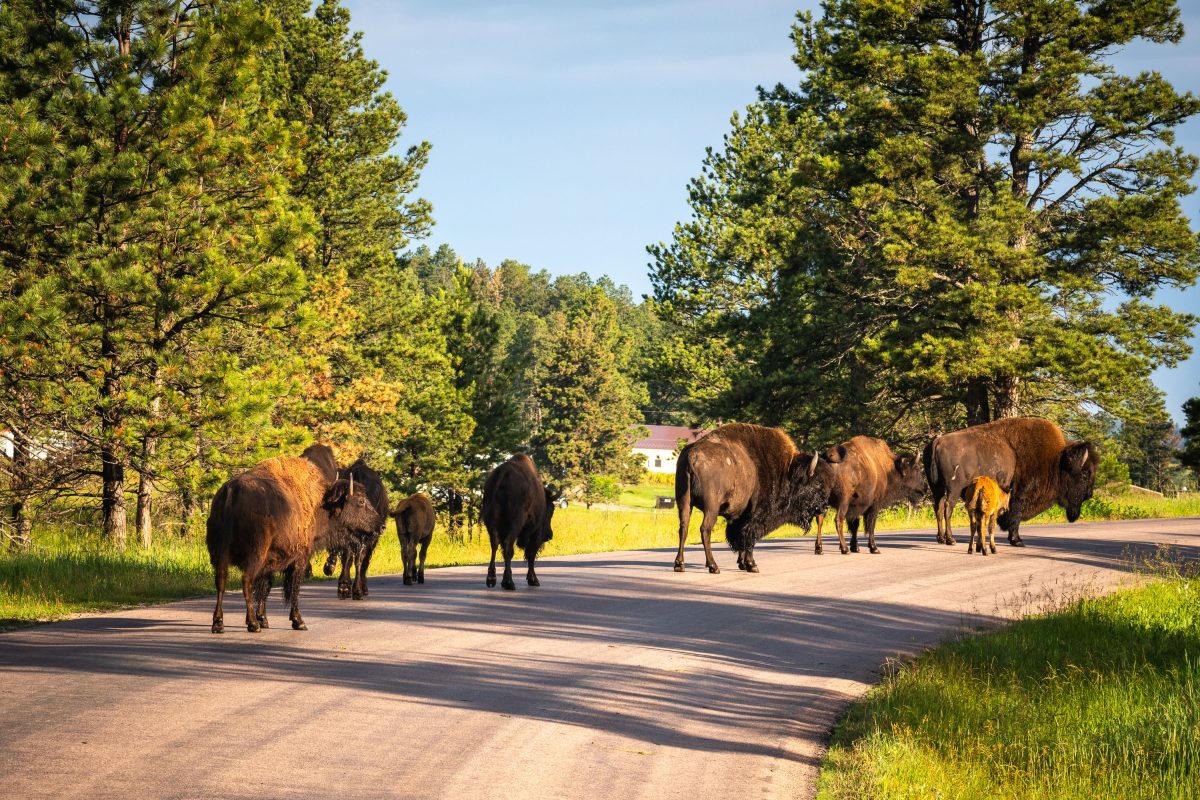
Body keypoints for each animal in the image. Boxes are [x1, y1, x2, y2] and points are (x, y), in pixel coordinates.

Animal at [206, 456, 382, 633]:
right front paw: (298, 621)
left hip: (220, 555)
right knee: (246, 581)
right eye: (360, 501)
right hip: (254, 556)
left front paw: (264, 619)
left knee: (221, 582)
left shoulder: (269, 563)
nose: (380, 526)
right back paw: (252, 624)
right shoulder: (300, 558)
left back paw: (218, 623)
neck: (319, 504)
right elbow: (293, 588)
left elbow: (265, 588)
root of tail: (232, 491)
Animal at [482, 454, 556, 590]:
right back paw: (509, 583)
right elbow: (531, 554)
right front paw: (533, 580)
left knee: (495, 545)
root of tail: (504, 473)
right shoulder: (536, 533)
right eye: (551, 509)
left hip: (491, 522)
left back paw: (492, 579)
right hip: (516, 524)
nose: (549, 535)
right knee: (508, 546)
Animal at [674, 423, 831, 574]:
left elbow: (739, 538)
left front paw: (742, 564)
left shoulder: (739, 517)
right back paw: (713, 566)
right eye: (817, 483)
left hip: (684, 502)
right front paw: (752, 565)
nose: (824, 507)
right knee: (705, 530)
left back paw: (679, 564)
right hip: (711, 508)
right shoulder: (755, 514)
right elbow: (749, 536)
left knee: (683, 528)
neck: (786, 472)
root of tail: (692, 455)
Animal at [924, 417, 1097, 547]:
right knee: (947, 508)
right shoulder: (1019, 495)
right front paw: (1017, 540)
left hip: (937, 489)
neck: (1056, 460)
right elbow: (1015, 516)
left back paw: (940, 538)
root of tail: (938, 441)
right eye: (1084, 474)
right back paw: (950, 539)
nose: (1089, 494)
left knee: (938, 508)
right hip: (953, 488)